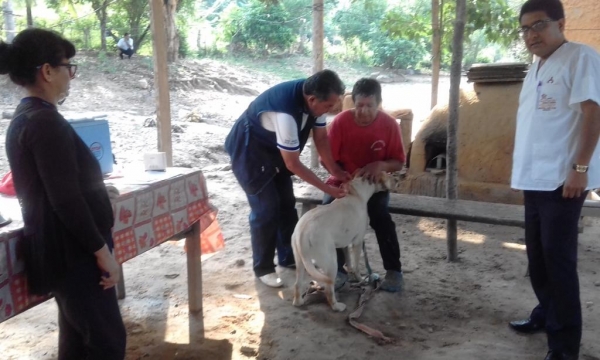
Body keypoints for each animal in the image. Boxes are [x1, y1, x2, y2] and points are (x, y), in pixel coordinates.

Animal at [292, 173, 394, 310]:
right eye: (386, 174)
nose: (395, 180)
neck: (355, 193)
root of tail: (302, 233)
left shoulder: (345, 243)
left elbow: (348, 260)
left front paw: (349, 270)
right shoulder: (358, 241)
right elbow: (356, 266)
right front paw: (361, 279)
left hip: (300, 262)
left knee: (297, 284)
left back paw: (298, 302)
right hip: (331, 262)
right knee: (328, 290)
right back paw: (337, 306)